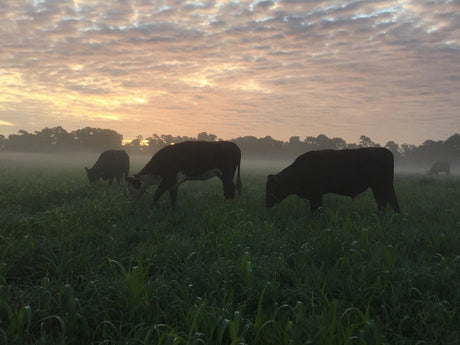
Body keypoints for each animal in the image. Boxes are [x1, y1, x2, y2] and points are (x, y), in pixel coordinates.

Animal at [266, 146, 398, 214]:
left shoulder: (316, 195)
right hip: (377, 187)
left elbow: (316, 210)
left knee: (392, 201)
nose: (266, 204)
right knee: (382, 202)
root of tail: (386, 151)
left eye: (272, 188)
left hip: (385, 185)